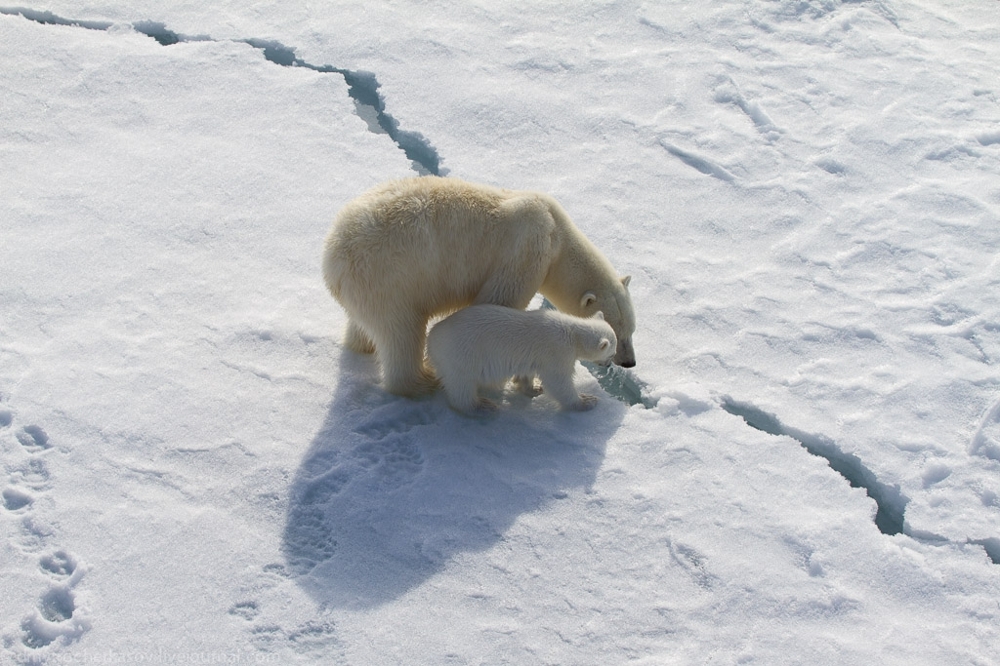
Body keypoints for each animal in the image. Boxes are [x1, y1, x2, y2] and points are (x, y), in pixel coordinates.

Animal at [322, 176, 632, 394]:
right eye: (618, 332)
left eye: (631, 329)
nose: (629, 362)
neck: (559, 235)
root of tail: (333, 260)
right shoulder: (527, 248)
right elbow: (499, 300)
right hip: (390, 279)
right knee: (401, 333)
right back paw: (424, 381)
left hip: (367, 288)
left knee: (367, 327)